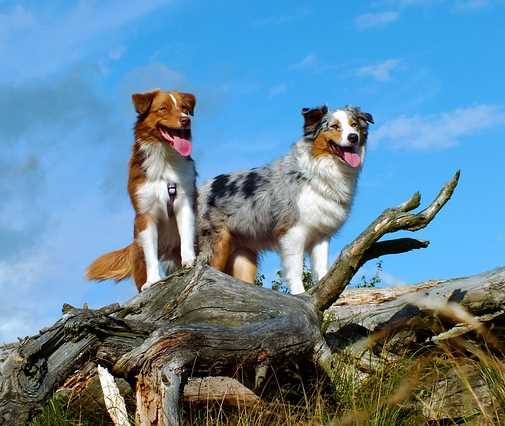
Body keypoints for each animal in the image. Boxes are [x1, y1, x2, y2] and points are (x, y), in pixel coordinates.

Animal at [85, 89, 196, 290]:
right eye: (163, 109)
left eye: (184, 108)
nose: (186, 120)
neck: (165, 159)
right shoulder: (145, 214)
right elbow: (151, 254)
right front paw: (152, 281)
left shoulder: (184, 203)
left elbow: (186, 236)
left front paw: (189, 261)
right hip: (137, 248)